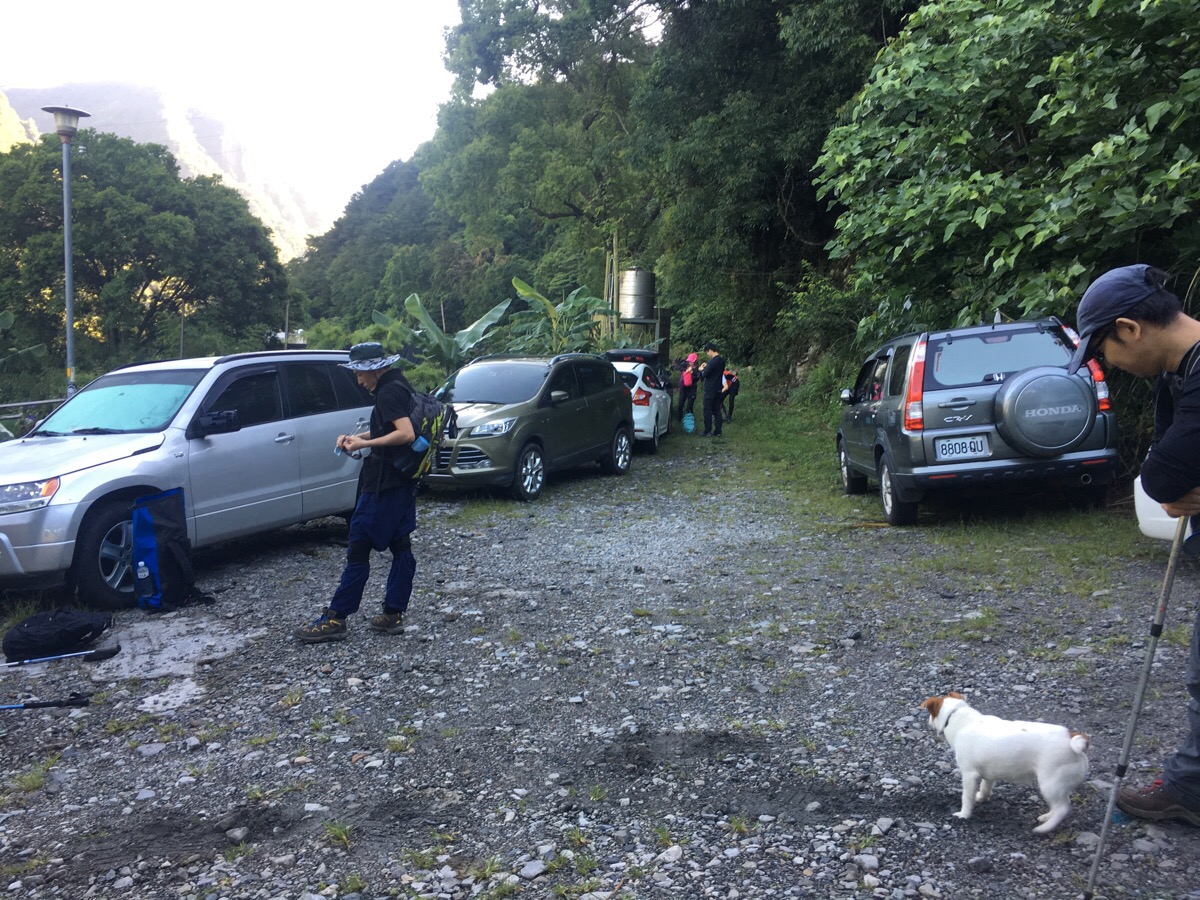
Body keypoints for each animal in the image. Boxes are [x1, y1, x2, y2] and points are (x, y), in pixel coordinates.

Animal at [919, 692, 1090, 833]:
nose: (927, 721)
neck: (959, 718)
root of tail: (1073, 739)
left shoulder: (969, 775)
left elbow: (966, 797)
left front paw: (964, 814)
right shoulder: (989, 773)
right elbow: (985, 786)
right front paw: (981, 797)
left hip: (1050, 784)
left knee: (1062, 808)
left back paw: (1045, 827)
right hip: (1058, 785)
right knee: (1062, 804)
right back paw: (1046, 817)